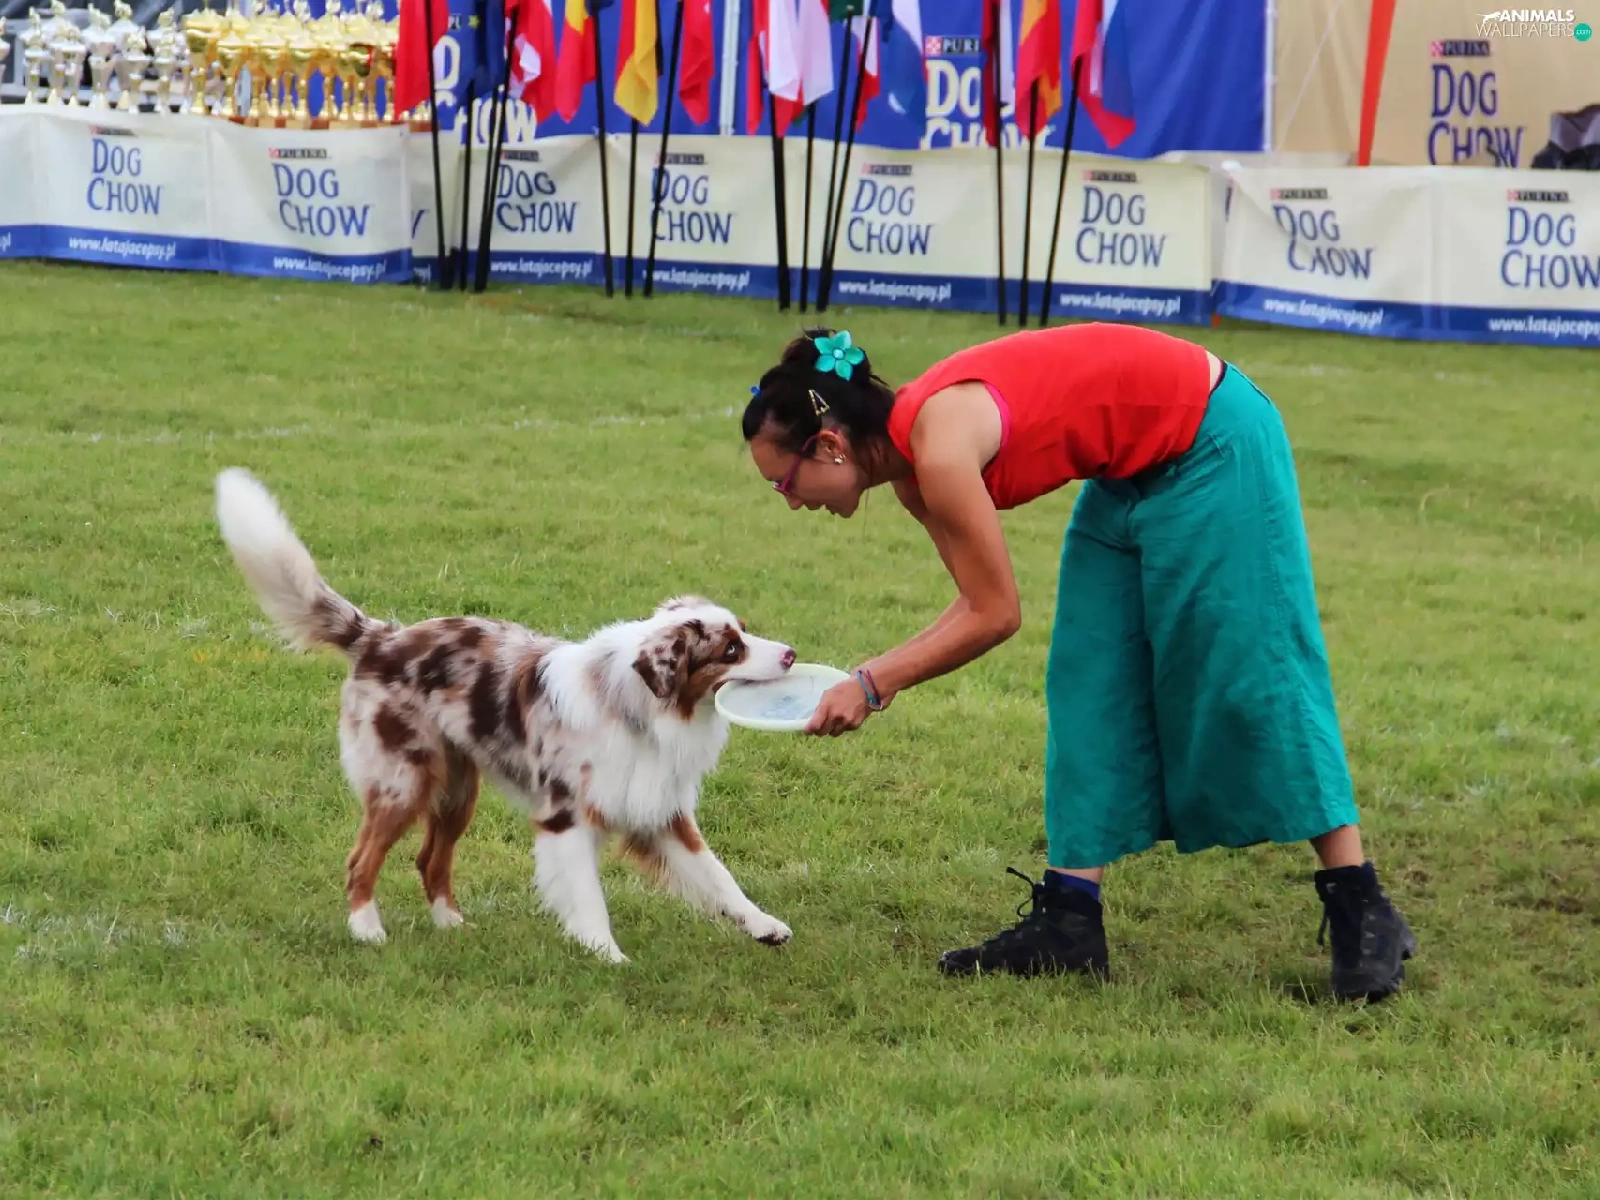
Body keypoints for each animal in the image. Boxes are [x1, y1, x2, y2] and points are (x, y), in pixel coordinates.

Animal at [213, 468, 798, 963]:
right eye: (730, 650)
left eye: (745, 632)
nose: (792, 653)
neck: (637, 708)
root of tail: (381, 638)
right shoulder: (567, 817)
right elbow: (589, 896)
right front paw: (606, 955)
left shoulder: (660, 810)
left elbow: (719, 876)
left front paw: (763, 925)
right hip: (404, 781)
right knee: (362, 859)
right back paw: (367, 930)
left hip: (457, 791)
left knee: (430, 859)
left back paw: (450, 925)